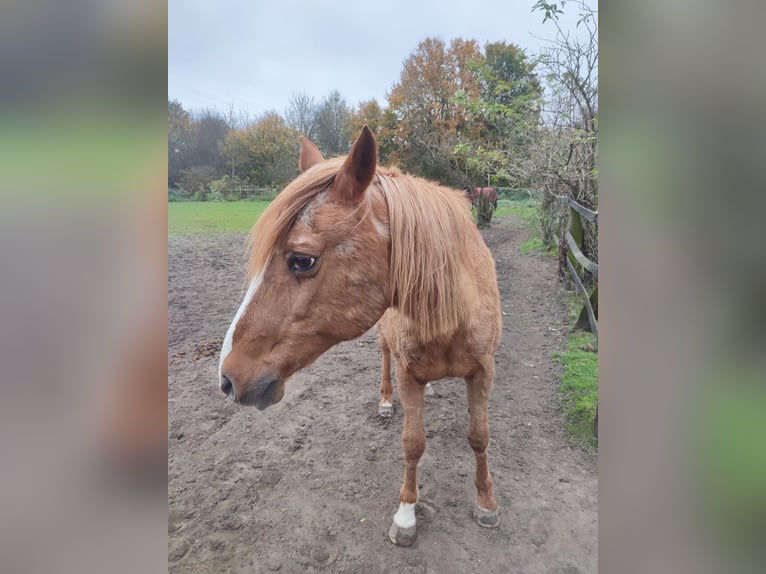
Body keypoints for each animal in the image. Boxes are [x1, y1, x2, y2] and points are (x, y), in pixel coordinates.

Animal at [216, 127, 504, 548]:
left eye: (301, 260)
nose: (227, 378)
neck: (451, 310)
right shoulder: (408, 374)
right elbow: (413, 442)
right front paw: (406, 513)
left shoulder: (483, 371)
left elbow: (480, 436)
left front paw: (486, 504)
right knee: (384, 359)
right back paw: (385, 401)